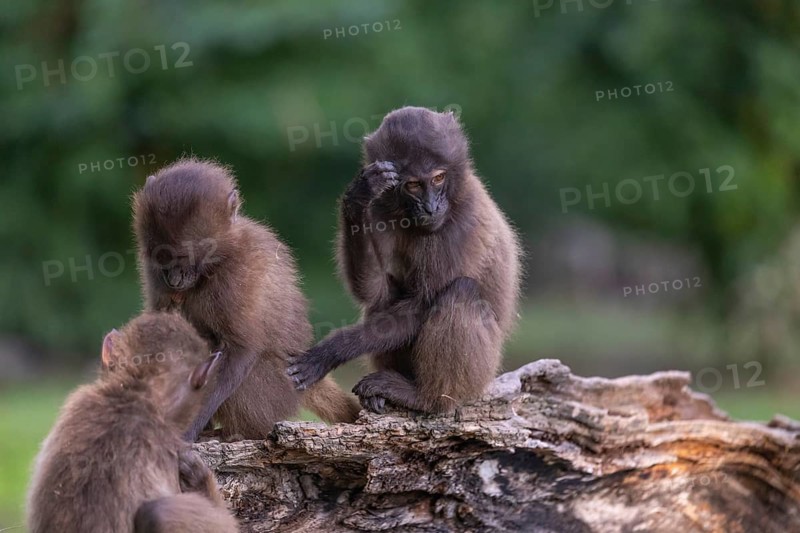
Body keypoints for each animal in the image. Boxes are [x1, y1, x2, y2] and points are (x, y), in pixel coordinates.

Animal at [133, 158, 360, 441]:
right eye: (161, 256)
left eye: (184, 257)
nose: (173, 280)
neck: (217, 259)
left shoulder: (239, 273)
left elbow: (241, 350)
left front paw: (186, 431)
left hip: (277, 390)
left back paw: (241, 432)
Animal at [288, 106, 522, 414]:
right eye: (412, 185)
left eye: (438, 178)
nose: (431, 207)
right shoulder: (381, 210)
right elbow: (375, 292)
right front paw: (358, 197)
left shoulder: (462, 224)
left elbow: (423, 304)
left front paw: (330, 352)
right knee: (385, 301)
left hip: (480, 376)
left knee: (462, 291)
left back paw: (425, 398)